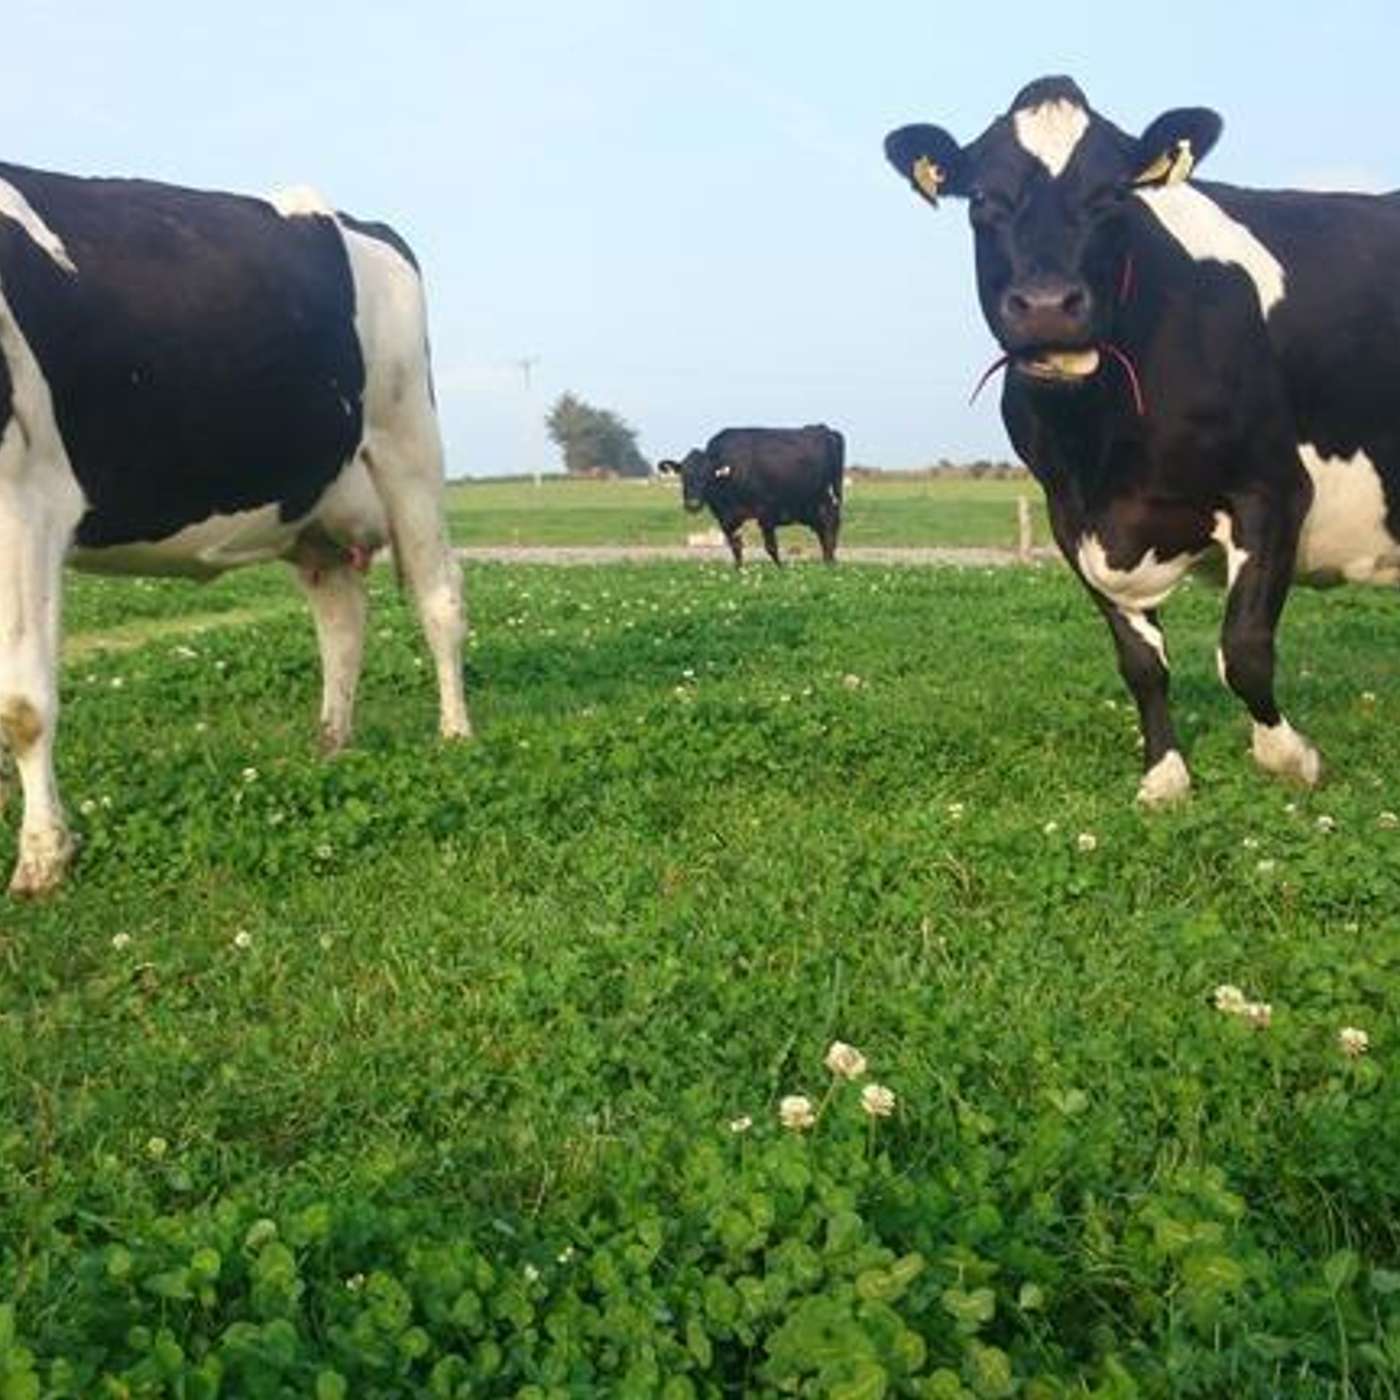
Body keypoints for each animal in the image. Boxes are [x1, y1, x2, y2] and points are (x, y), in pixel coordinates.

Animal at [0, 162, 470, 895]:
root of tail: (360, 223)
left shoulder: (25, 497)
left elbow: (21, 705)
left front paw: (44, 858)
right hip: (317, 509)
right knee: (342, 618)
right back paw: (332, 741)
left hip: (408, 441)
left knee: (438, 598)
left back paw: (454, 733)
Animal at [657, 424, 844, 566]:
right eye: (683, 476)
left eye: (707, 476)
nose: (693, 504)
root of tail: (823, 429)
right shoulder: (726, 519)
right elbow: (736, 546)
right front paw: (739, 569)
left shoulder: (766, 513)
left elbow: (771, 547)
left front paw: (780, 569)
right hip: (812, 507)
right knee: (823, 533)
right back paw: (827, 560)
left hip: (830, 500)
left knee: (830, 530)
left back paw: (830, 563)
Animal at [885, 76, 1400, 805]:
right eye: (982, 199)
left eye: (1112, 196)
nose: (1048, 306)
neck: (1105, 446)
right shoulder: (1071, 518)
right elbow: (1140, 662)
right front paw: (1165, 774)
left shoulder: (1273, 489)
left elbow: (1244, 651)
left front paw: (1293, 757)